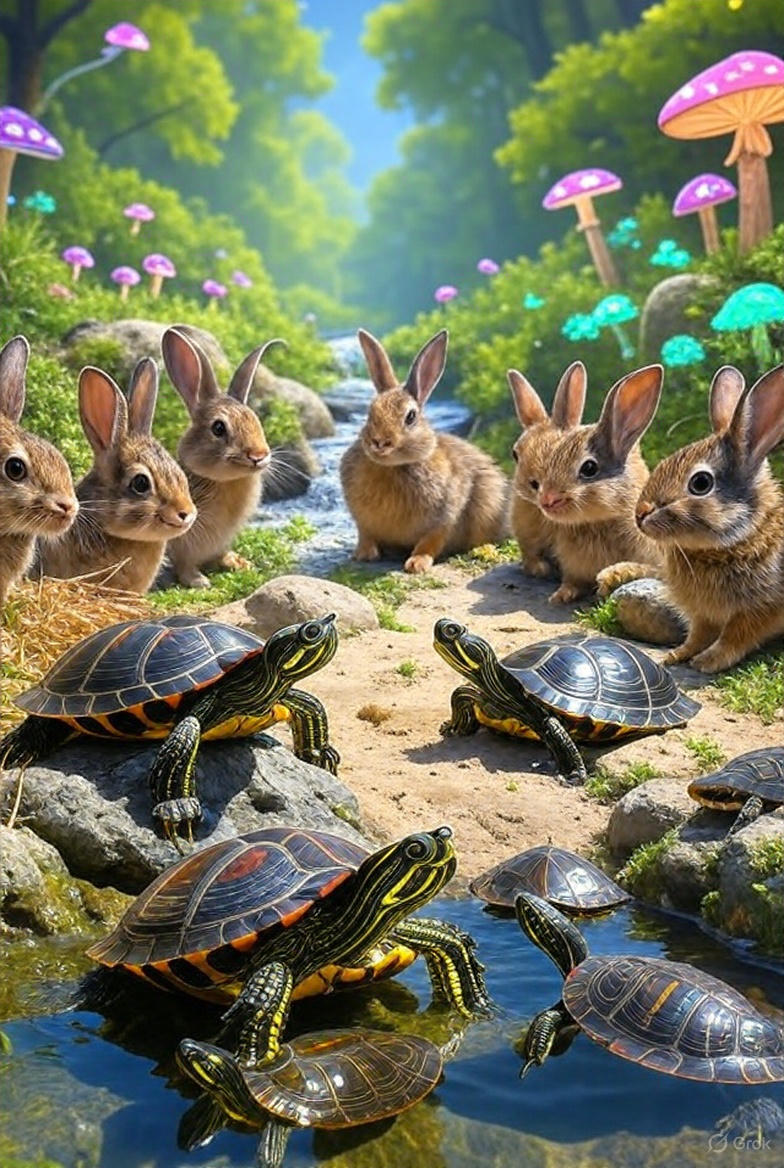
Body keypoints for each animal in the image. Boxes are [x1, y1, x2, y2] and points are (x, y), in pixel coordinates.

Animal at [161, 326, 280, 588]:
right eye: (218, 428)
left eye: (257, 421)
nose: (259, 455)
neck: (226, 481)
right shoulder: (182, 540)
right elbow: (183, 564)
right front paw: (199, 581)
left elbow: (221, 553)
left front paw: (241, 564)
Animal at [340, 328, 508, 573]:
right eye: (370, 413)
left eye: (411, 417)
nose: (380, 442)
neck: (392, 467)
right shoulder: (362, 520)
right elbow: (366, 534)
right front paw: (363, 554)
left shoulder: (446, 517)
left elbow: (431, 541)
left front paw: (416, 564)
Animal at [527, 364, 664, 604]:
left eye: (589, 468)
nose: (546, 500)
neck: (599, 520)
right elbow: (573, 582)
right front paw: (560, 595)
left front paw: (610, 578)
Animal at [636, 363, 784, 673]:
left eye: (701, 483)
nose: (639, 514)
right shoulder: (702, 615)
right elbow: (698, 633)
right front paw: (676, 654)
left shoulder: (759, 609)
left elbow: (735, 637)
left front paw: (707, 661)